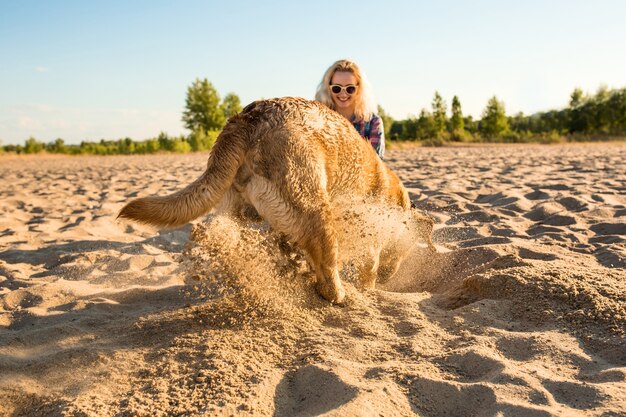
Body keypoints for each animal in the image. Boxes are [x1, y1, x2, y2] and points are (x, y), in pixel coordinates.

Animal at [117, 97, 432, 302]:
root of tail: (245, 121)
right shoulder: (372, 236)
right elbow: (369, 266)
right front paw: (368, 286)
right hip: (315, 210)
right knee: (326, 264)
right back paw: (337, 293)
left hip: (237, 207)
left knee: (220, 235)